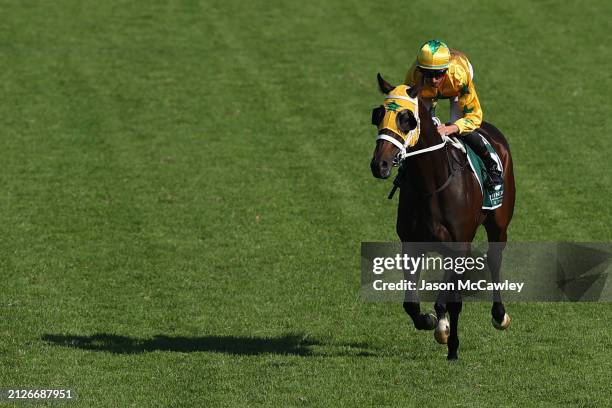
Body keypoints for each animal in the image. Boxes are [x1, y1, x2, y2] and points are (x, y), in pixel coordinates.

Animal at [370, 74, 512, 360]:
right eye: (378, 115)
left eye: (407, 119)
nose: (379, 165)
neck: (431, 186)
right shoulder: (412, 245)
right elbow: (411, 304)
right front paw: (432, 323)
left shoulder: (459, 247)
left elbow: (451, 301)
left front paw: (452, 347)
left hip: (499, 224)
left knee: (494, 259)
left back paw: (499, 315)